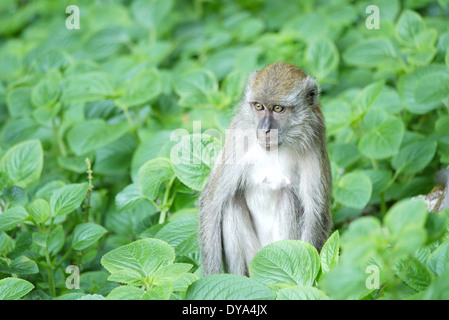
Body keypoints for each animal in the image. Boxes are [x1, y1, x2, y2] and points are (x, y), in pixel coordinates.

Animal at [198, 62, 330, 276]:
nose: (265, 129)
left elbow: (316, 213)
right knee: (231, 202)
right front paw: (213, 278)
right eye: (259, 106)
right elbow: (212, 201)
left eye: (278, 108)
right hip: (254, 258)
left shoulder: (315, 137)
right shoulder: (238, 133)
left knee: (289, 197)